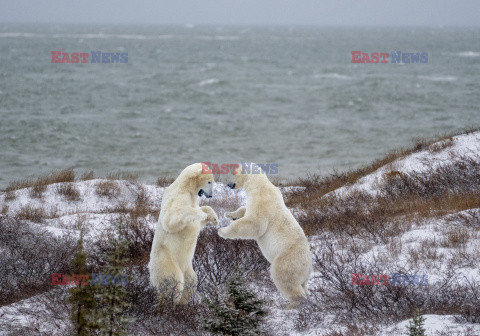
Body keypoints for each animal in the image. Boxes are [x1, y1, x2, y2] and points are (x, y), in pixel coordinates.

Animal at [149, 164, 218, 306]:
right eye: (209, 182)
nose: (211, 195)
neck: (186, 187)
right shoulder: (177, 197)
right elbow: (171, 218)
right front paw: (200, 214)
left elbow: (201, 216)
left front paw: (214, 218)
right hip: (166, 261)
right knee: (174, 283)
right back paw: (170, 303)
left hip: (187, 267)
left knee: (191, 282)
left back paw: (183, 304)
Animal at [219, 163, 314, 310]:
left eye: (233, 173)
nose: (229, 184)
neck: (260, 185)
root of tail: (308, 265)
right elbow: (245, 210)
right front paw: (230, 214)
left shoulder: (262, 201)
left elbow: (255, 224)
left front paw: (222, 230)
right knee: (302, 285)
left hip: (287, 260)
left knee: (284, 278)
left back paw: (290, 305)